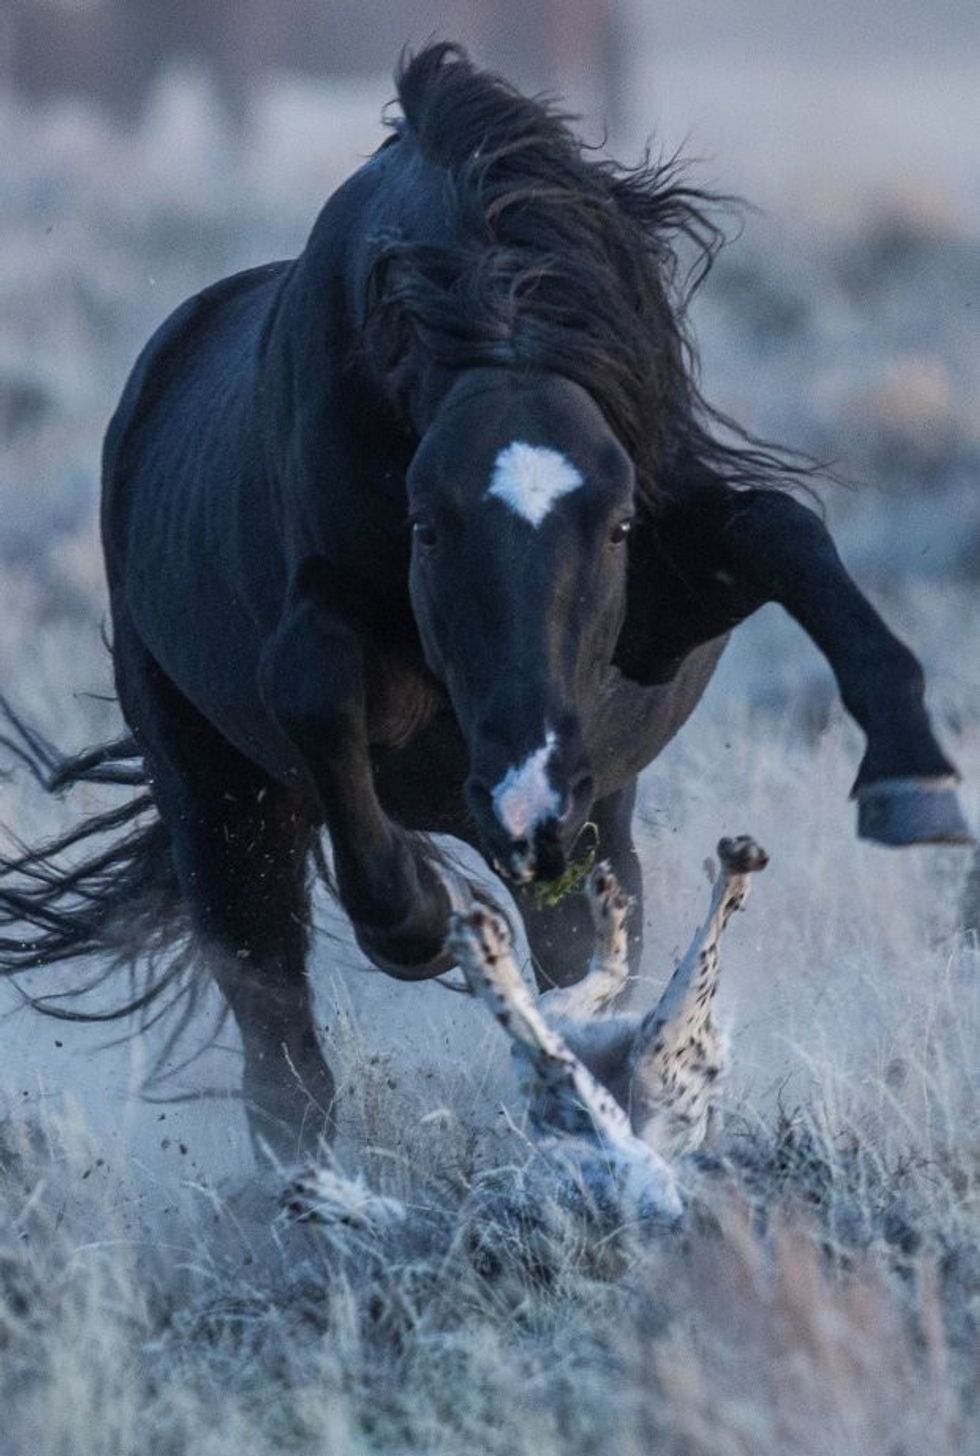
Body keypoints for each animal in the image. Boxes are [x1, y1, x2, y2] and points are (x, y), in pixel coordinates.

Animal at [0, 44, 968, 1162]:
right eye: (425, 526)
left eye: (617, 526)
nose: (524, 796)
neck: (498, 324)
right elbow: (316, 690)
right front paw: (420, 917)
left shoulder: (664, 602)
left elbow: (784, 531)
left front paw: (913, 774)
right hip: (217, 795)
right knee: (277, 1033)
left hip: (592, 831)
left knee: (575, 944)